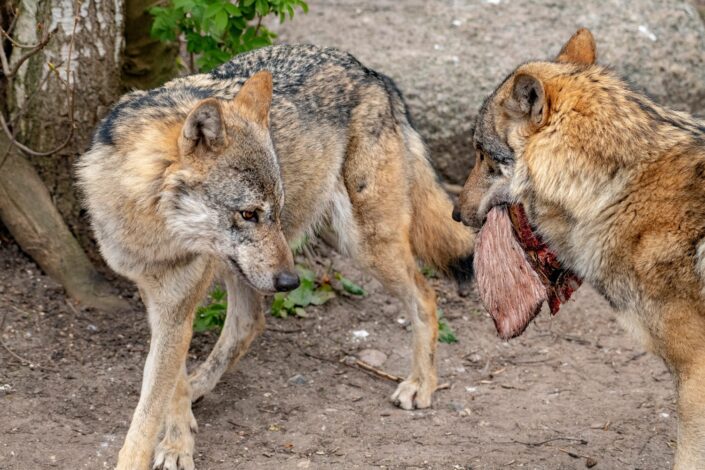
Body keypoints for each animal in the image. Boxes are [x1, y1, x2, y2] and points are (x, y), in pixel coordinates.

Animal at [77, 45, 472, 470]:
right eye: (249, 213)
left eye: (275, 212)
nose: (289, 282)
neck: (151, 228)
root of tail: (373, 73)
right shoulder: (159, 299)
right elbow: (169, 386)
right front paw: (178, 433)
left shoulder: (176, 305)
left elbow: (147, 417)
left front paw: (172, 444)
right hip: (257, 264)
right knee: (249, 322)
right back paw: (200, 386)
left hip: (362, 245)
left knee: (425, 296)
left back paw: (421, 385)